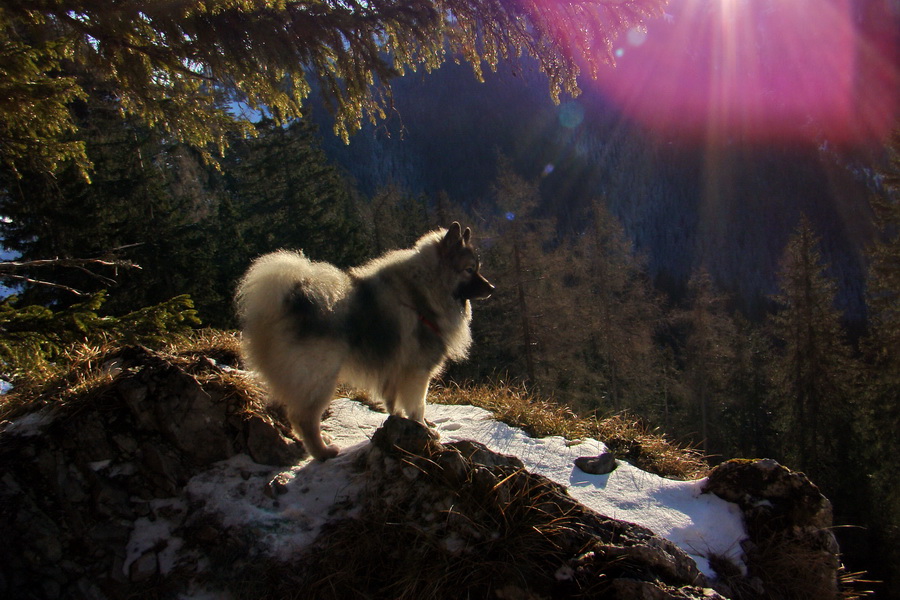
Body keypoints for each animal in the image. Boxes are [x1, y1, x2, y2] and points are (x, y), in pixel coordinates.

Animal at [234, 221, 492, 460]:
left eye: (478, 268)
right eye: (470, 270)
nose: (491, 287)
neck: (423, 293)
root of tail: (291, 300)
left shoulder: (395, 372)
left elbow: (395, 403)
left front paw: (402, 422)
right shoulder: (417, 373)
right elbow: (418, 406)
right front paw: (425, 430)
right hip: (320, 379)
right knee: (304, 419)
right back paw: (323, 451)